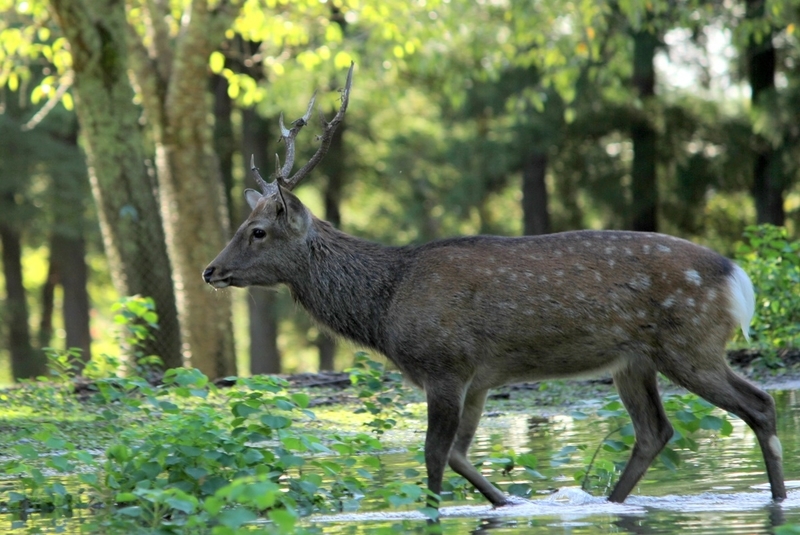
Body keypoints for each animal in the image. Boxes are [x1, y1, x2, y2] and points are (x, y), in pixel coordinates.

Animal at [205, 65, 788, 508]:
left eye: (257, 231)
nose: (211, 270)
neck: (386, 307)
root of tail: (737, 278)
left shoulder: (444, 365)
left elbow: (434, 457)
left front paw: (436, 512)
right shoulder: (481, 377)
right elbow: (461, 454)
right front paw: (508, 503)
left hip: (689, 342)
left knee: (758, 403)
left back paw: (777, 498)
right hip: (634, 360)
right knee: (655, 431)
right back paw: (612, 502)